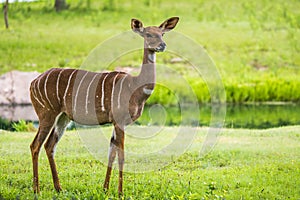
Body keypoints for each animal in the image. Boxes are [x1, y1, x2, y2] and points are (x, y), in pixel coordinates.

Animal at [28, 17, 178, 195]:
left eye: (162, 33)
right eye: (148, 34)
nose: (162, 45)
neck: (135, 87)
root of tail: (33, 82)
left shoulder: (116, 122)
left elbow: (111, 153)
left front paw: (105, 189)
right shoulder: (119, 120)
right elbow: (121, 155)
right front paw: (120, 192)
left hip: (63, 117)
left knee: (49, 145)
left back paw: (59, 188)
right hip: (47, 114)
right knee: (35, 145)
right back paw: (36, 190)